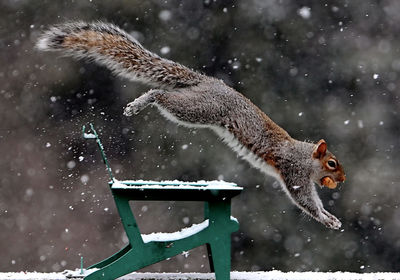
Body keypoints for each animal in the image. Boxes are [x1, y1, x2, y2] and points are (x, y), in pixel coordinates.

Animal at [36, 21, 346, 228]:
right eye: (332, 163)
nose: (342, 179)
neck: (306, 156)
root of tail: (207, 82)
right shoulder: (294, 172)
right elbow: (304, 200)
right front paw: (326, 219)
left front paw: (330, 215)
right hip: (201, 109)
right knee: (161, 95)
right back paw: (141, 102)